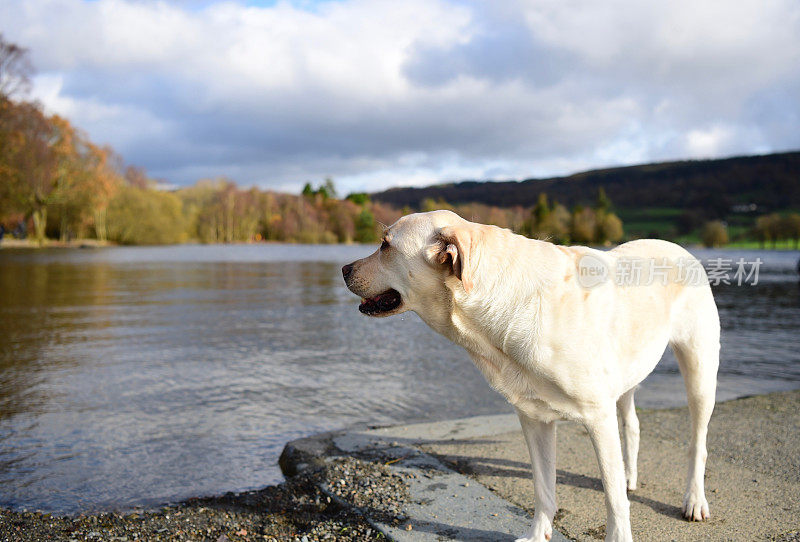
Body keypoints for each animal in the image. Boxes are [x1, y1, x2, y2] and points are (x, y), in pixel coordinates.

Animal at [342, 210, 720, 540]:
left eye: (385, 245)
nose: (344, 269)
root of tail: (679, 247)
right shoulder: (534, 417)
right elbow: (543, 488)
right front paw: (539, 534)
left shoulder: (597, 417)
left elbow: (614, 502)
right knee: (632, 424)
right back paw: (631, 476)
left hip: (700, 372)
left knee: (698, 443)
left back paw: (694, 500)